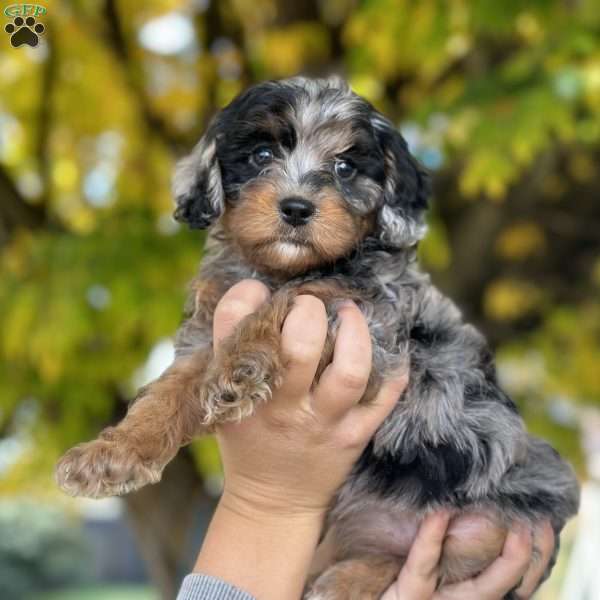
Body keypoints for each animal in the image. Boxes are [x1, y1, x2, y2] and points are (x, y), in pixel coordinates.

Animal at [58, 77, 580, 596]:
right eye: (262, 154)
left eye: (345, 167)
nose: (296, 208)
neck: (281, 268)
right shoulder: (205, 333)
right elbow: (165, 395)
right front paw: (110, 455)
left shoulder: (374, 321)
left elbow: (298, 298)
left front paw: (240, 365)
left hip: (486, 525)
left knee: (417, 563)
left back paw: (344, 582)